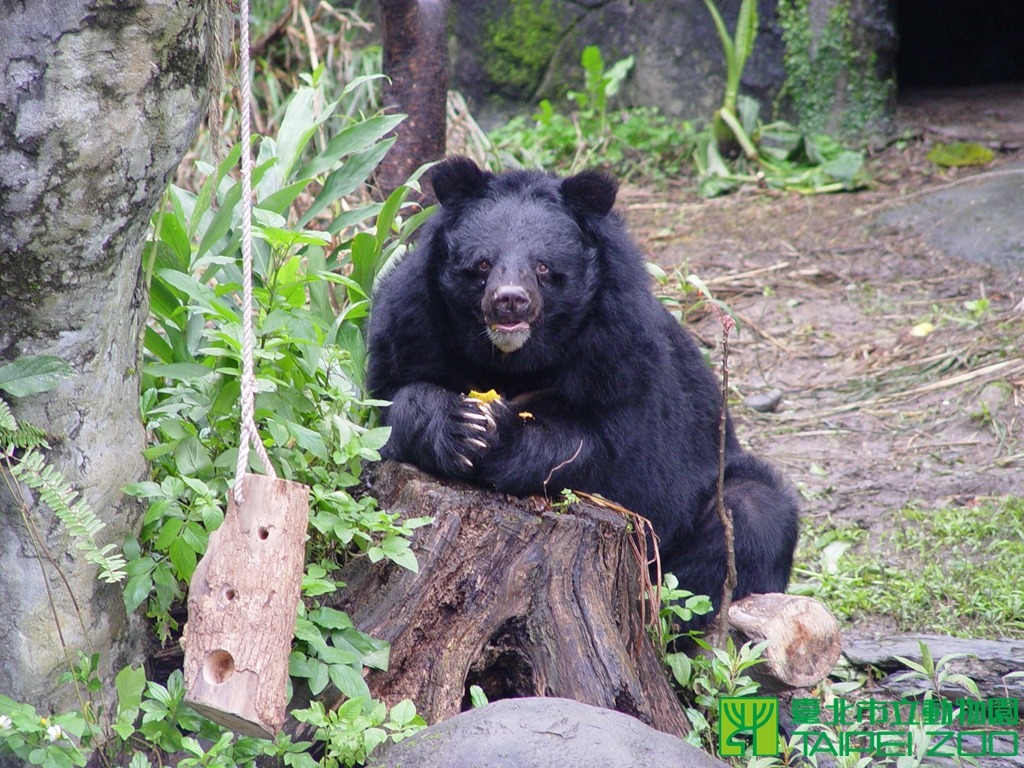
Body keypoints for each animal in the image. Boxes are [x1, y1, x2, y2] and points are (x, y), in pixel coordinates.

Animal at [366, 156, 799, 623]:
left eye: (542, 267)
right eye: (483, 265)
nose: (509, 301)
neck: (513, 360)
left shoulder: (620, 352)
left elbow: (590, 443)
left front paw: (500, 433)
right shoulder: (412, 320)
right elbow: (394, 396)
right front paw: (460, 427)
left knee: (750, 516)